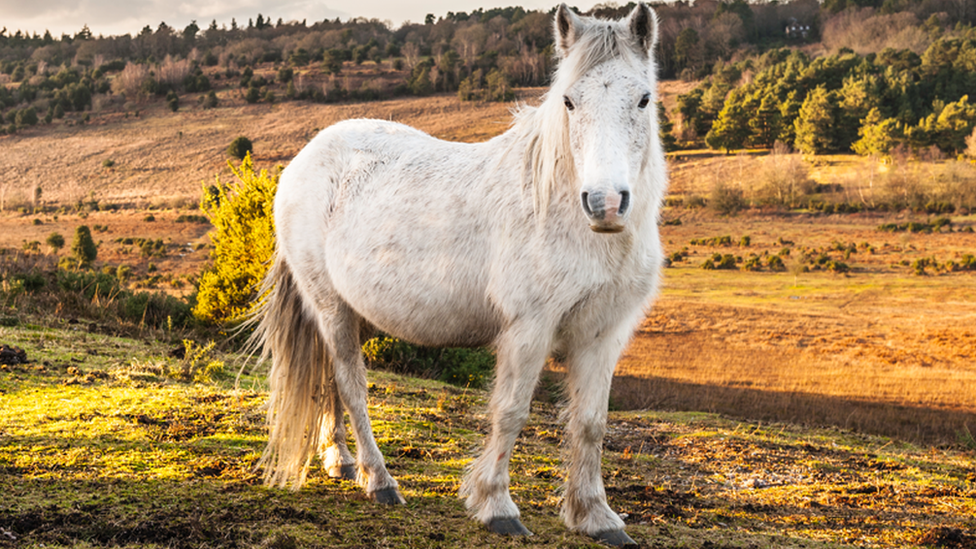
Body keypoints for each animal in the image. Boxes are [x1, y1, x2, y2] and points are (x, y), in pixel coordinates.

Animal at [252, 3, 668, 544]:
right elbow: (510, 412)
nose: (605, 204)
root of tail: (307, 156)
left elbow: (591, 423)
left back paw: (340, 460)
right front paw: (497, 506)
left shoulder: (603, 335)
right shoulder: (529, 330)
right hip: (329, 304)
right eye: (570, 102)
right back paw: (378, 480)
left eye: (643, 99)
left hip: (351, 310)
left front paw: (596, 516)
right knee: (350, 382)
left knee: (328, 379)